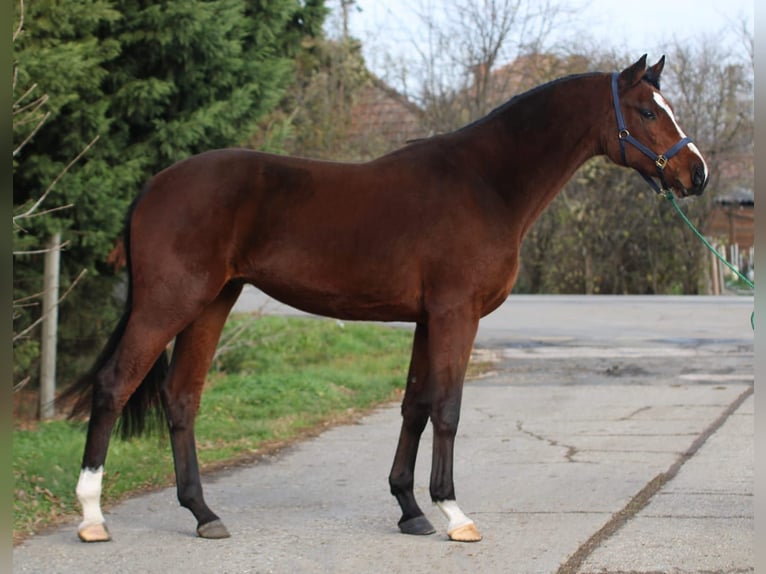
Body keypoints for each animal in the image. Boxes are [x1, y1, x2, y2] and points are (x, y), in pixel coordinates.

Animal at [60, 56, 708, 548]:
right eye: (648, 111)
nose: (696, 174)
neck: (486, 184)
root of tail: (154, 185)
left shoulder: (427, 318)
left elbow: (414, 406)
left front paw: (410, 509)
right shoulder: (455, 315)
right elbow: (447, 408)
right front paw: (453, 513)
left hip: (213, 302)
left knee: (181, 398)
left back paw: (204, 514)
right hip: (169, 303)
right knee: (114, 386)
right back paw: (92, 517)